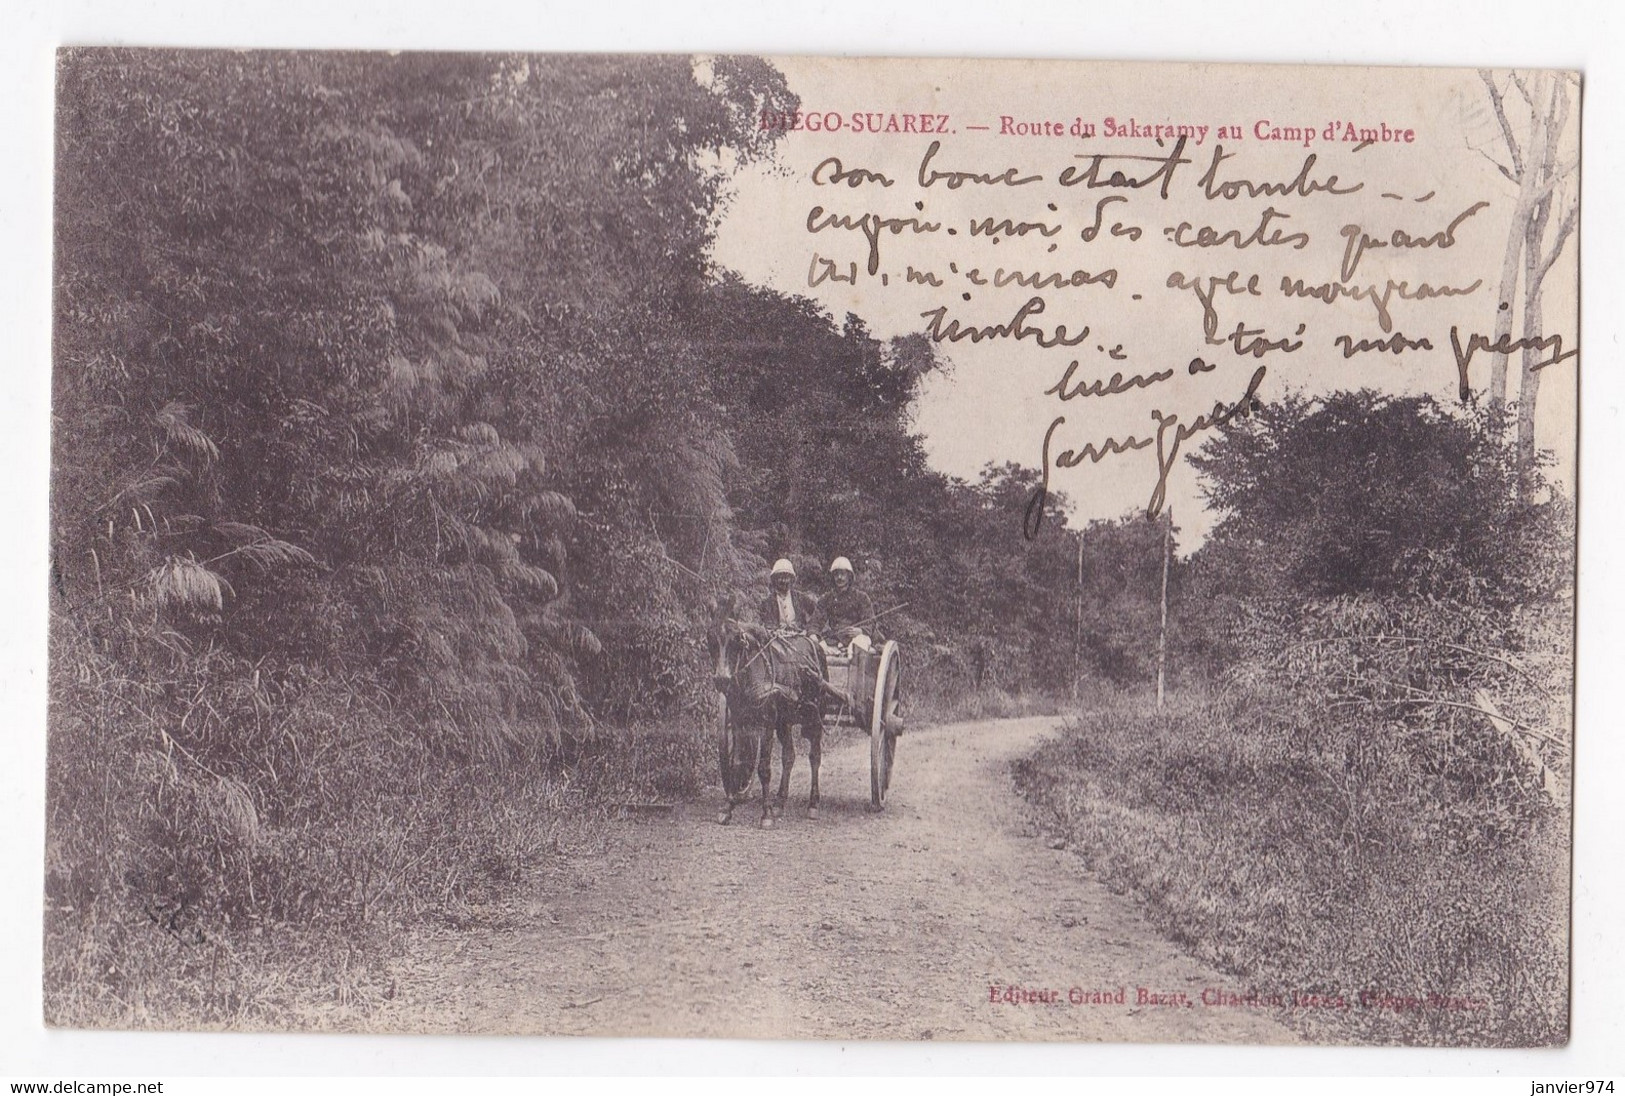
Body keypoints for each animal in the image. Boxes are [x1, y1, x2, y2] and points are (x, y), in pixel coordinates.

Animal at [705, 611, 825, 822]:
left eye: (737, 640)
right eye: (711, 639)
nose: (722, 679)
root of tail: (815, 646)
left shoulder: (767, 723)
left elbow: (764, 768)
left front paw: (766, 813)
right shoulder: (738, 721)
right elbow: (738, 763)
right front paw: (728, 806)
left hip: (815, 718)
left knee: (815, 757)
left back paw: (813, 804)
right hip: (784, 722)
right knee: (789, 756)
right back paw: (780, 802)